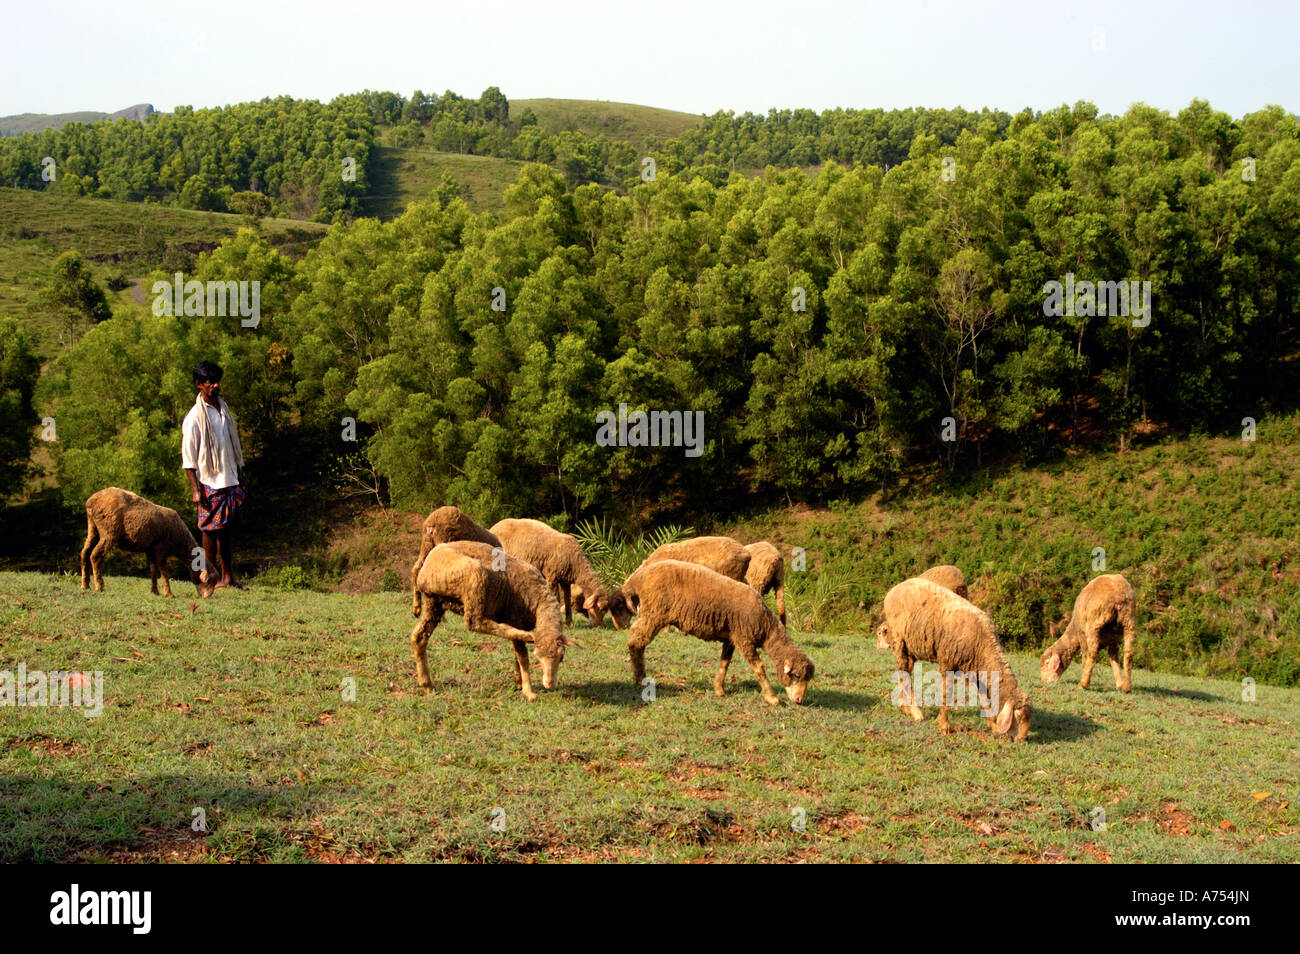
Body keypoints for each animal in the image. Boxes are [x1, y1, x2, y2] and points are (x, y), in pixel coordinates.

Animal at [79, 493, 213, 597]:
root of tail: (91, 501)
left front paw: (155, 592)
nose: (206, 597)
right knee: (95, 556)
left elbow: (153, 570)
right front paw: (169, 594)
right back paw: (99, 586)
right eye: (209, 581)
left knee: (84, 553)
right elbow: (164, 571)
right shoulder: (161, 548)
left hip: (93, 528)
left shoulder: (150, 549)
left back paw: (85, 585)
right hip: (108, 531)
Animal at [405, 545, 569, 701]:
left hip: (434, 602)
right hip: (475, 579)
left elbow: (518, 656)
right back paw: (525, 635)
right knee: (474, 622)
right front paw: (528, 692)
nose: (549, 684)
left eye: (561, 657)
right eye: (538, 658)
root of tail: (426, 570)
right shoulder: (515, 618)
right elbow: (523, 658)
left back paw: (427, 683)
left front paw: (519, 682)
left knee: (419, 637)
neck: (539, 598)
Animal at [611, 561, 811, 712]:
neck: (766, 627)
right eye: (796, 676)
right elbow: (759, 668)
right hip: (654, 613)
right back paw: (639, 678)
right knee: (636, 640)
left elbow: (725, 663)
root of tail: (638, 578)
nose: (799, 700)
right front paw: (772, 698)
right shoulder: (744, 639)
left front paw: (719, 689)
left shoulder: (732, 638)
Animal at [878, 574, 1029, 738]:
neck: (983, 645)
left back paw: (906, 708)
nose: (1022, 740)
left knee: (905, 673)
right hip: (898, 640)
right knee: (903, 673)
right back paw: (916, 712)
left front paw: (993, 725)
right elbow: (947, 693)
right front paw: (944, 726)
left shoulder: (976, 669)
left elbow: (984, 696)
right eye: (1019, 716)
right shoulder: (947, 663)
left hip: (910, 647)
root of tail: (894, 588)